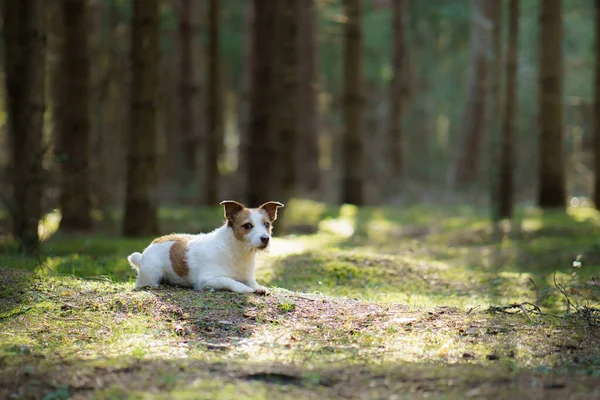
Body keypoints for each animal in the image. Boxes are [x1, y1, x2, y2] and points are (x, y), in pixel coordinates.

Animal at [126, 200, 284, 294]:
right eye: (247, 226)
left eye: (266, 224)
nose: (265, 238)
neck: (236, 251)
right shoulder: (207, 280)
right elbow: (229, 280)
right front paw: (244, 288)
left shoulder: (247, 275)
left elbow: (252, 282)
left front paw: (257, 287)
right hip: (151, 276)